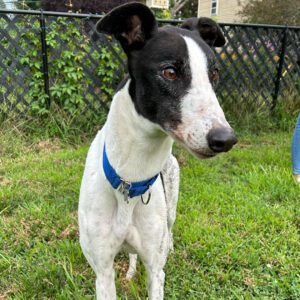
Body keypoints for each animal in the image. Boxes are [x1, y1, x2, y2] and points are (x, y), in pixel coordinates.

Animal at [78, 2, 238, 300]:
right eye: (170, 72)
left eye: (214, 74)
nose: (225, 139)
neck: (130, 180)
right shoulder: (102, 272)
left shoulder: (156, 271)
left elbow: (156, 270)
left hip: (171, 208)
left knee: (169, 230)